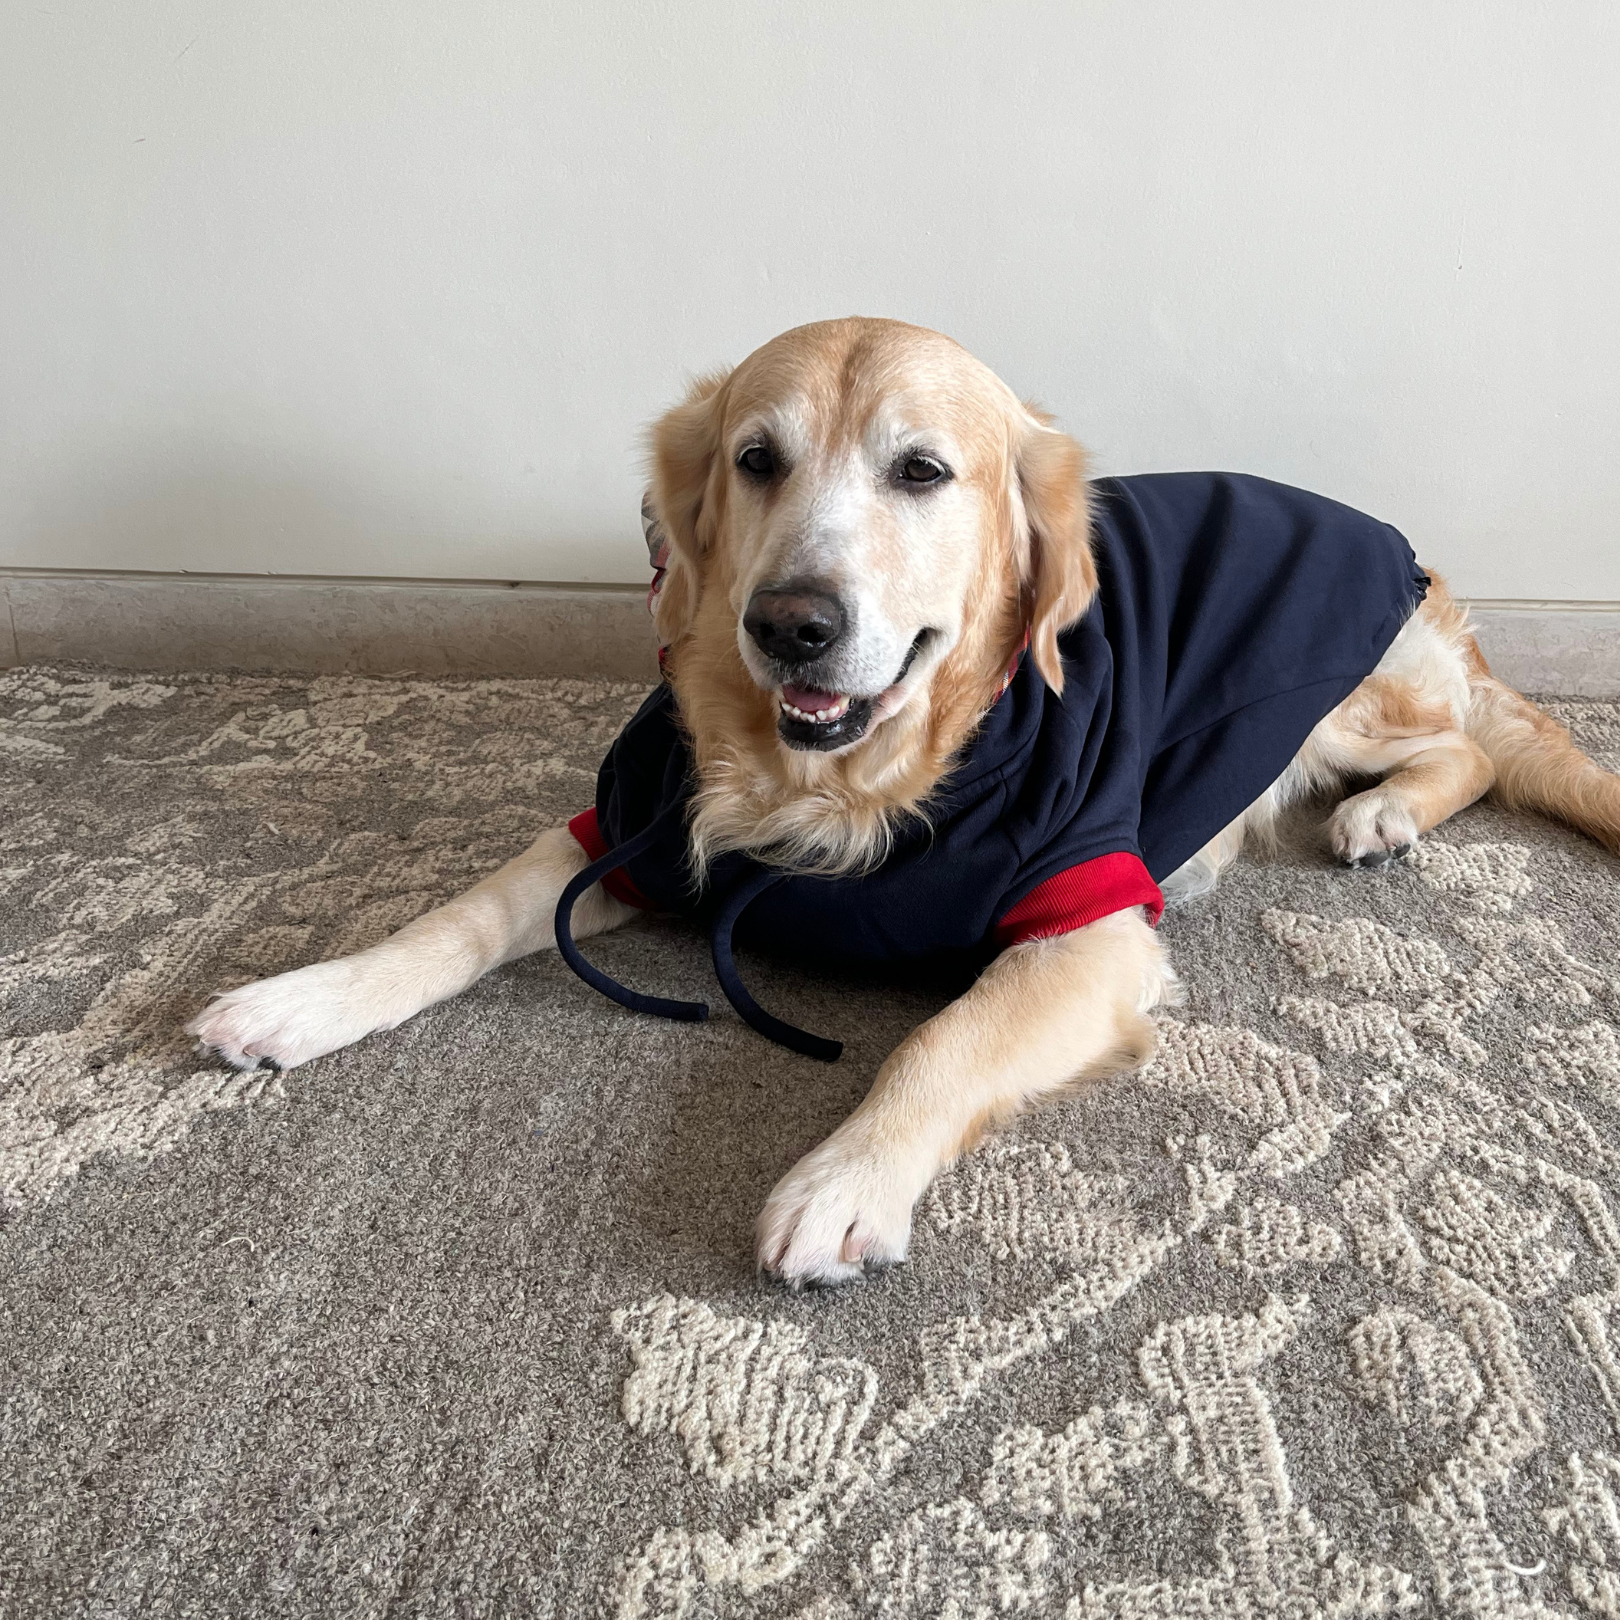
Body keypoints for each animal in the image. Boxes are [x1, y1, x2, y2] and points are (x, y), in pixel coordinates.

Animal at [189, 317, 1620, 1288]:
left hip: (1343, 694)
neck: (839, 779)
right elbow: (462, 916)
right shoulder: (631, 829)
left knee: (1476, 743)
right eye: (756, 459)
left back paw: (1385, 814)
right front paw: (308, 996)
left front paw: (845, 1177)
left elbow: (945, 1039)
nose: (792, 626)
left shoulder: (1090, 921)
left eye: (922, 473)